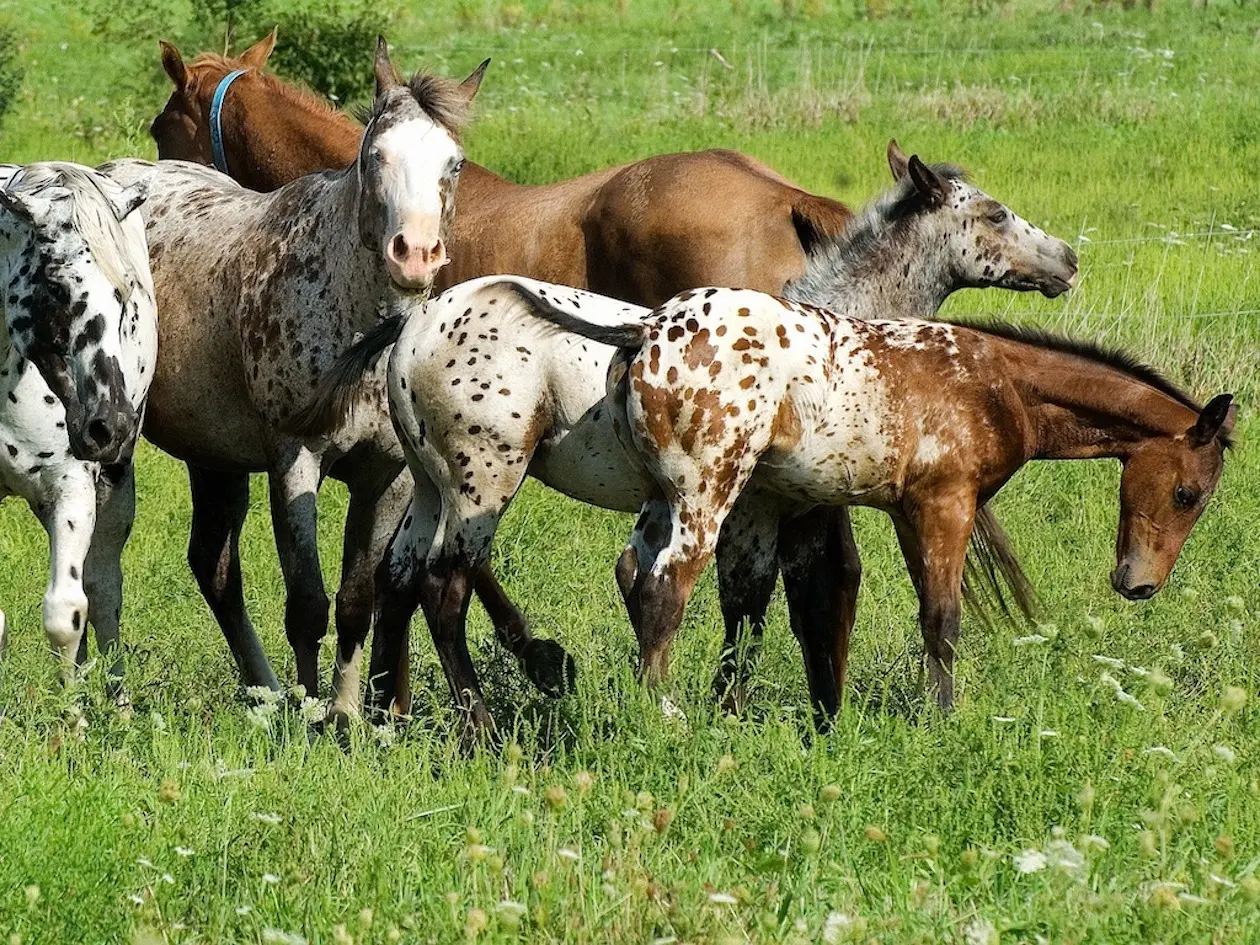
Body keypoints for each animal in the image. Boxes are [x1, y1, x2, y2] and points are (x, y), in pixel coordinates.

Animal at [0, 161, 157, 705]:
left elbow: (66, 613)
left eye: (124, 293)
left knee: (103, 589)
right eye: (56, 286)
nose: (109, 425)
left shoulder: (71, 487)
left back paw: (119, 700)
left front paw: (73, 716)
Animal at [498, 173, 1229, 715]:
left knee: (634, 574)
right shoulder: (942, 506)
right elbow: (936, 616)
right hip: (698, 497)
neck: (995, 379)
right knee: (663, 589)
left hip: (664, 497)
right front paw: (941, 719)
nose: (1138, 583)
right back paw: (658, 712)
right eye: (1188, 493)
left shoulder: (889, 513)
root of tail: (646, 330)